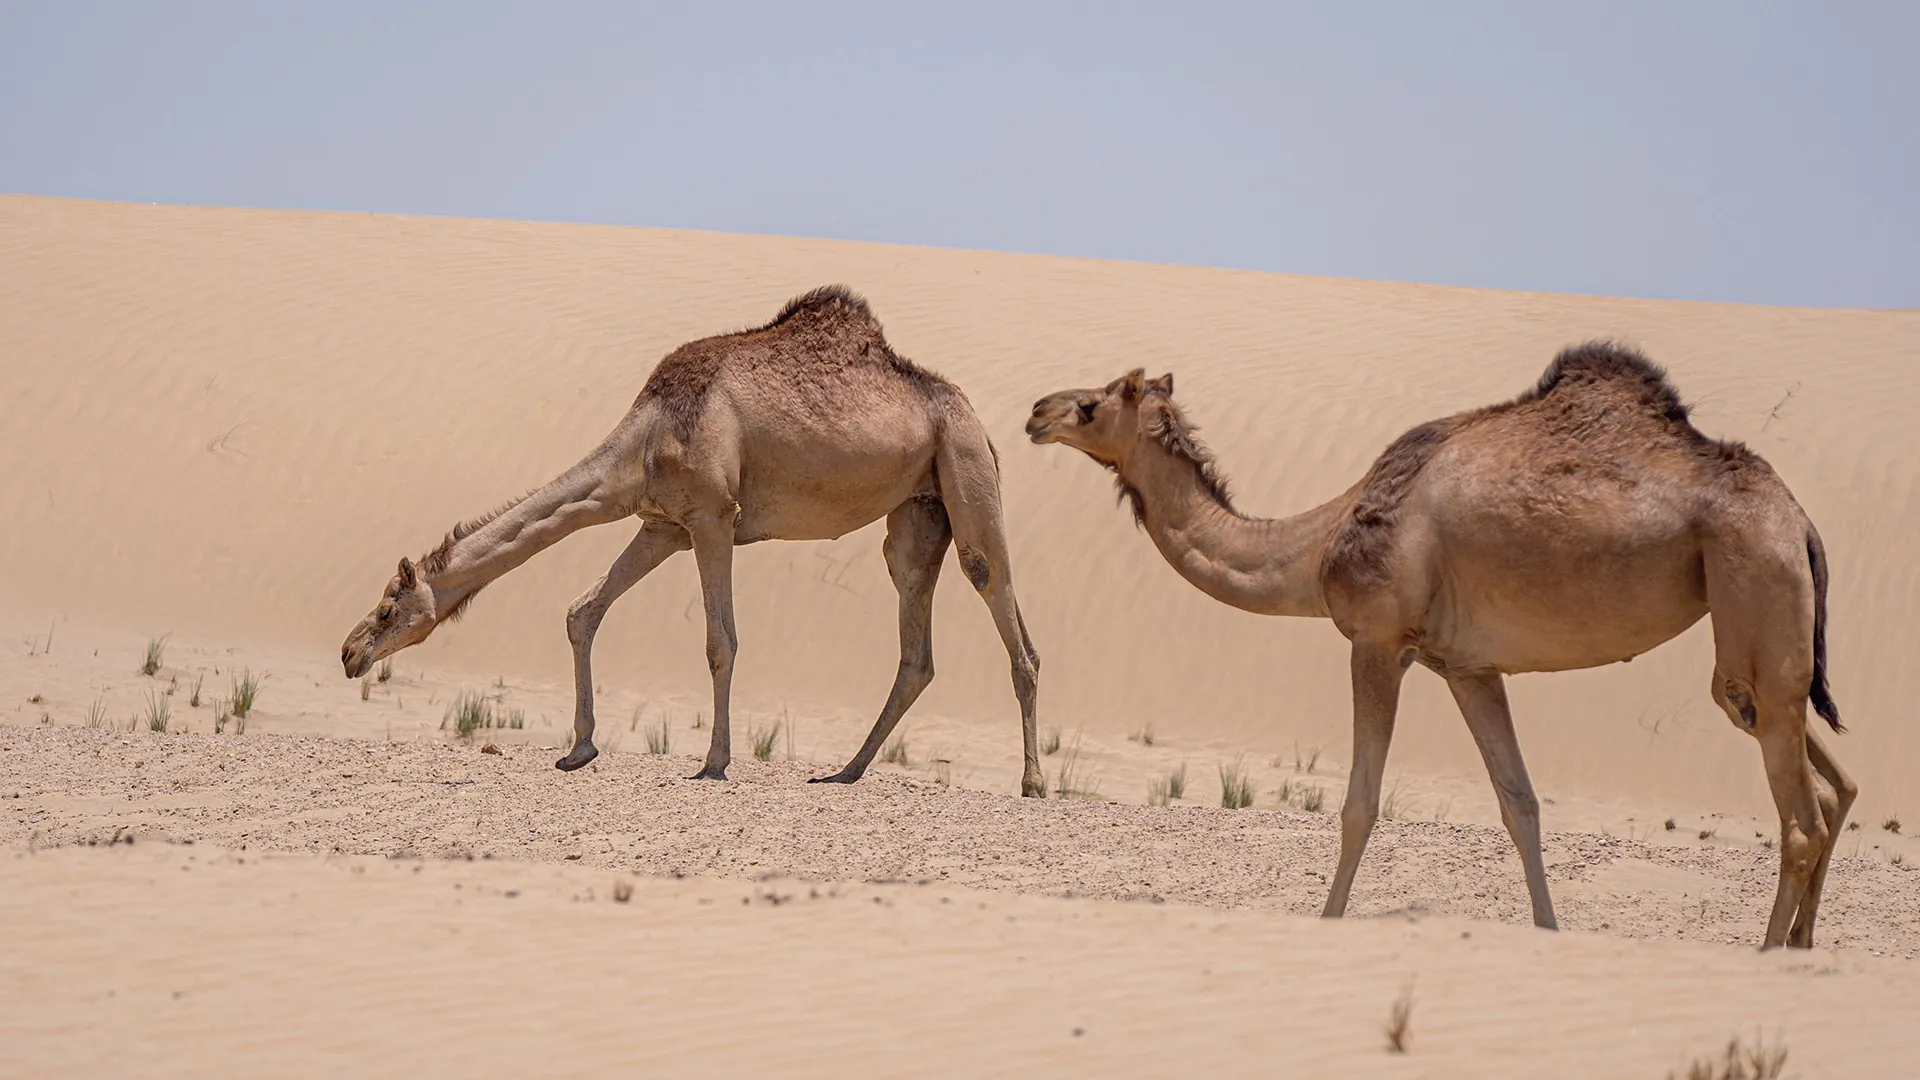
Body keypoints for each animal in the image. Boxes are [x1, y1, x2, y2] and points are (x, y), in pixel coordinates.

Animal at [341, 285, 1045, 797]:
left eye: (388, 609)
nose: (349, 653)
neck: (646, 439)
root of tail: (977, 419)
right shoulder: (663, 525)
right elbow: (583, 610)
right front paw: (578, 750)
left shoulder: (712, 516)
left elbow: (719, 642)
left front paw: (713, 762)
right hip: (918, 511)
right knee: (915, 638)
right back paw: (845, 771)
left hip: (963, 464)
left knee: (999, 598)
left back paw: (1032, 783)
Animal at [1026, 344, 1854, 948]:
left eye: (1094, 403)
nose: (1037, 409)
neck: (1318, 544)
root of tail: (1803, 521)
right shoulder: (1468, 666)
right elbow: (1520, 804)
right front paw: (1548, 931)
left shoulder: (1376, 638)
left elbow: (1360, 803)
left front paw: (1328, 922)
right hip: (1764, 639)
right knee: (1827, 783)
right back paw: (1802, 945)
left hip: (1755, 583)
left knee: (1800, 816)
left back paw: (1767, 953)